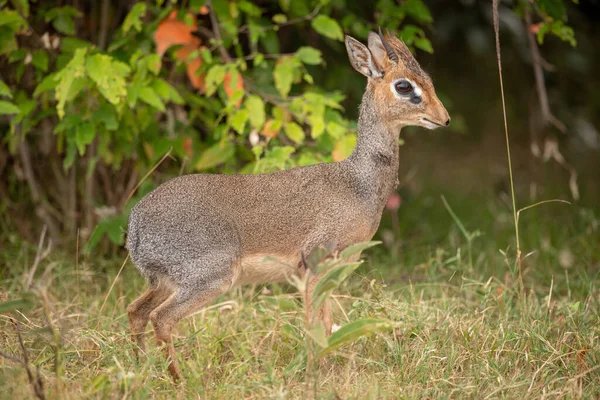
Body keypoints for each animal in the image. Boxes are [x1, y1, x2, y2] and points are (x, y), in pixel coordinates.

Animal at [126, 29, 450, 380]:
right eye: (404, 85)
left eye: (428, 79)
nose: (444, 119)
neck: (357, 183)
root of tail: (135, 227)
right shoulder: (313, 263)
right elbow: (316, 324)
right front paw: (313, 374)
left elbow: (327, 323)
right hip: (210, 277)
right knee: (161, 318)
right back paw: (178, 379)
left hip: (165, 281)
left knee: (136, 311)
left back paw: (139, 370)